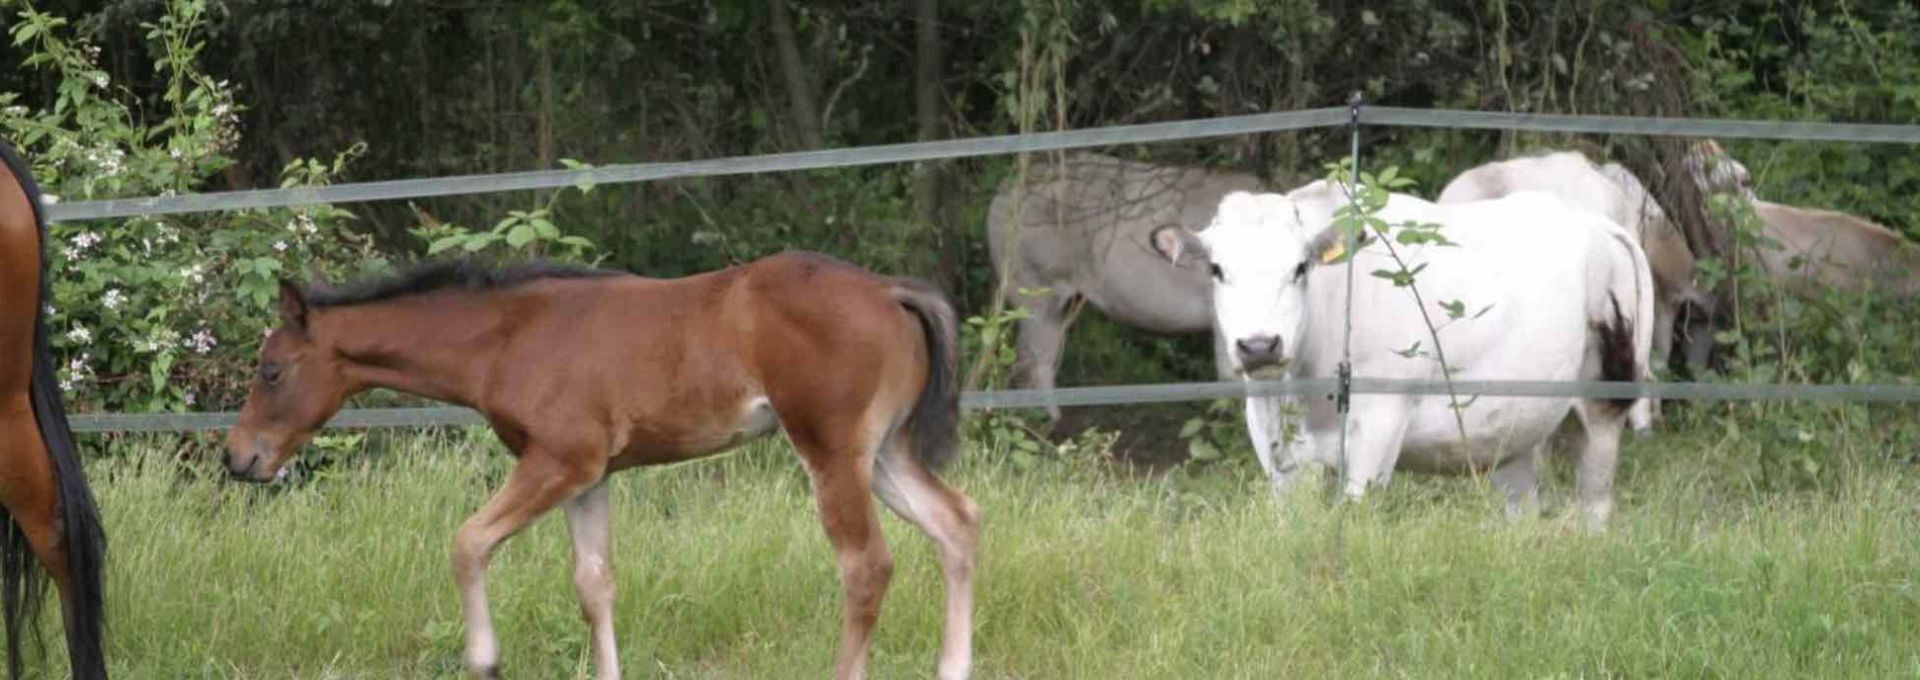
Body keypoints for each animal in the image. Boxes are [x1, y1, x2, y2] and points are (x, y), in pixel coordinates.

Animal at [219, 253, 983, 680]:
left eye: (271, 370)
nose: (238, 457)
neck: (509, 336)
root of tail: (889, 292)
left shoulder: (558, 460)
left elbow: (467, 543)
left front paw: (485, 659)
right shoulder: (589, 478)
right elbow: (594, 585)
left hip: (831, 449)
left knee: (866, 565)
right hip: (884, 453)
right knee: (956, 523)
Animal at [1144, 184, 1658, 526]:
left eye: (1300, 267)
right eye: (1216, 269)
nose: (1258, 345)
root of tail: (1599, 225)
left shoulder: (1381, 420)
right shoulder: (1272, 437)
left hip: (1604, 398)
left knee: (1595, 501)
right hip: (1516, 423)